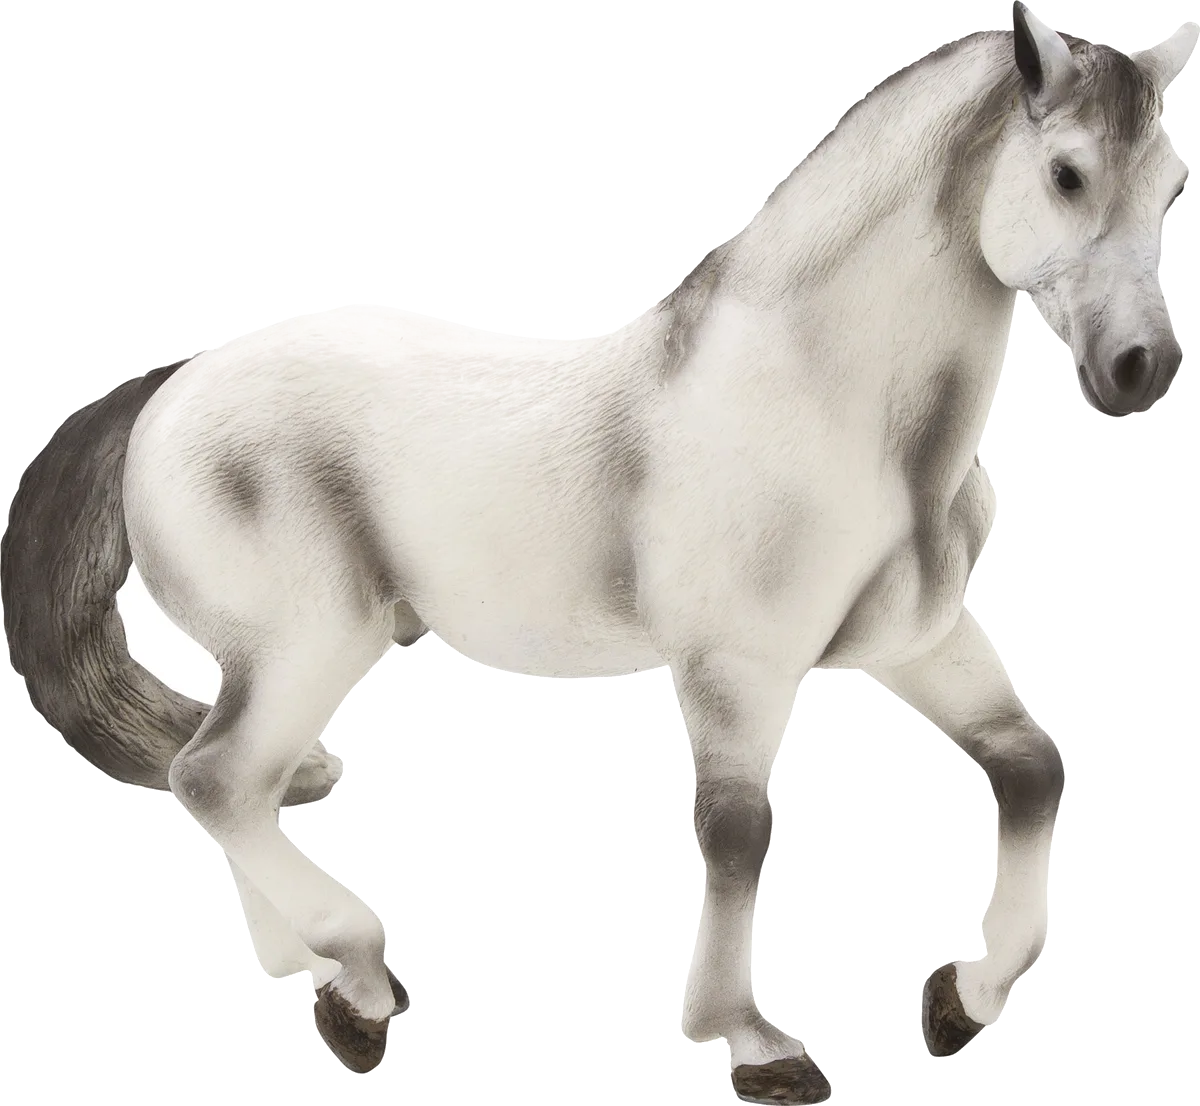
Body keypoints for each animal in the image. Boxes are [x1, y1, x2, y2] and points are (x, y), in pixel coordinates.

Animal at [1, 5, 1195, 1103]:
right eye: (1067, 173)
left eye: (1176, 187)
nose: (1142, 369)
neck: (826, 402)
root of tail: (171, 388)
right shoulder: (737, 670)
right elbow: (736, 834)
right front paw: (753, 1042)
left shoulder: (922, 644)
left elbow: (1030, 767)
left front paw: (963, 998)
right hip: (311, 645)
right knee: (214, 779)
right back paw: (363, 976)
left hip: (283, 661)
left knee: (226, 783)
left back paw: (311, 972)